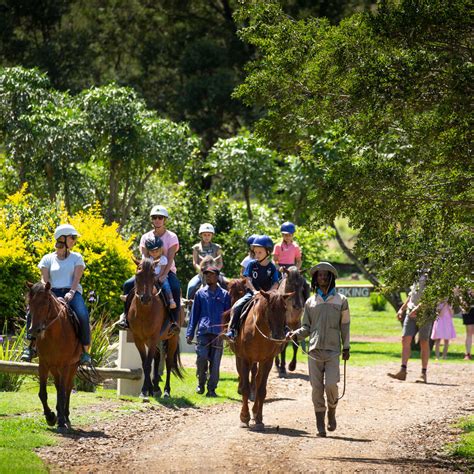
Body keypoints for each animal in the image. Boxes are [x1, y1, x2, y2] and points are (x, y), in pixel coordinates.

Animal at [27, 282, 81, 434]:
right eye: (29, 304)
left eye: (45, 303)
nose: (34, 331)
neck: (55, 334)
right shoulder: (44, 364)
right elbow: (43, 393)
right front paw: (51, 417)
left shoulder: (65, 365)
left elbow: (63, 393)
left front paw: (61, 421)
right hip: (54, 367)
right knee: (58, 386)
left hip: (73, 366)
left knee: (67, 388)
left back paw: (66, 417)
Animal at [128, 258, 183, 398]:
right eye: (138, 275)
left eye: (153, 275)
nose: (146, 298)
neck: (144, 311)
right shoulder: (138, 339)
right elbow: (145, 363)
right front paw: (147, 389)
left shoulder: (153, 338)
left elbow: (148, 364)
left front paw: (144, 390)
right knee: (157, 357)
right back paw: (155, 388)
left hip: (172, 338)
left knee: (168, 362)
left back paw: (166, 390)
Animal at [230, 290, 292, 432]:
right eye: (271, 308)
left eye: (285, 309)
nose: (279, 336)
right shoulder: (245, 359)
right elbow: (246, 388)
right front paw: (244, 418)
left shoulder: (267, 361)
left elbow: (261, 390)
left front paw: (259, 420)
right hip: (241, 359)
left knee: (257, 382)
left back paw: (255, 412)